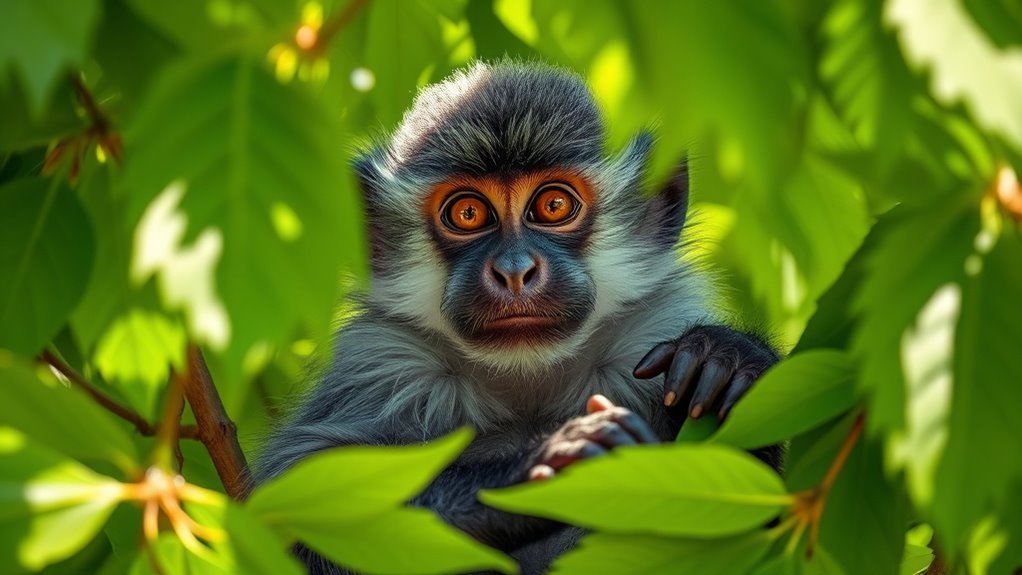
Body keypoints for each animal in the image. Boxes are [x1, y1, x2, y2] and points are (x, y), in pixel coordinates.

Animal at [255, 60, 782, 574]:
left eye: (554, 204)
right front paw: (538, 467)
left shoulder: (650, 331)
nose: (513, 270)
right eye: (468, 213)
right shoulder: (383, 362)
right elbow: (294, 514)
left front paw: (727, 361)